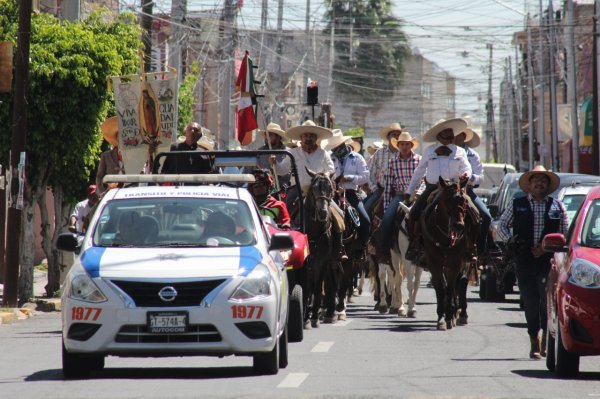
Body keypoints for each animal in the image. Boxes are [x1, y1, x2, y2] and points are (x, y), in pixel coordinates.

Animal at [420, 178, 476, 332]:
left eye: (463, 200)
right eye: (447, 199)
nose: (459, 225)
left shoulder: (456, 262)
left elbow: (451, 288)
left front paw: (450, 317)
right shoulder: (434, 263)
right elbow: (441, 288)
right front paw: (441, 318)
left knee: (461, 283)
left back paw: (461, 313)